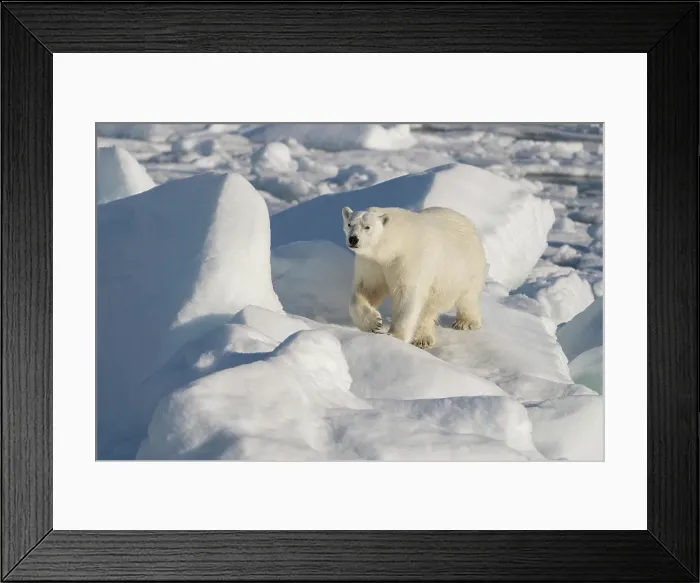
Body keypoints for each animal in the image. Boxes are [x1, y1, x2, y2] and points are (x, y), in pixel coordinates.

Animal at [342, 205, 486, 348]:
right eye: (349, 224)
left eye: (367, 227)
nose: (353, 239)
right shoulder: (372, 264)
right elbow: (367, 290)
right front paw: (374, 322)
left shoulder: (410, 261)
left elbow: (407, 296)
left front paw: (395, 336)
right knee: (428, 309)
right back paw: (423, 339)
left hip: (465, 269)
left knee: (467, 297)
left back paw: (465, 322)